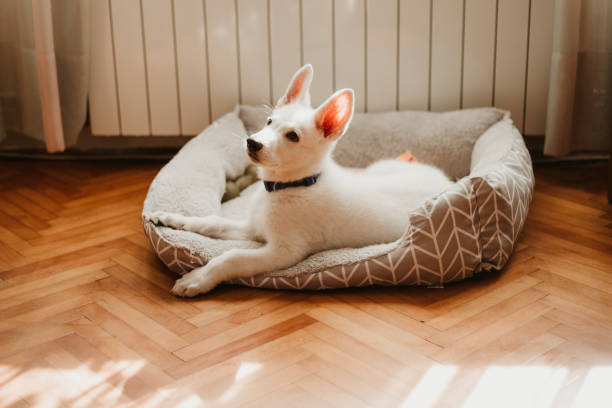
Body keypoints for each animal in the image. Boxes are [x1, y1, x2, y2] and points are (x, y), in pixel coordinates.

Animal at [146, 64, 452, 296]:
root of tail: (446, 180)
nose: (252, 142)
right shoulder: (254, 228)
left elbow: (232, 257)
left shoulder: (283, 252)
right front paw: (172, 219)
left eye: (292, 136)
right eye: (269, 122)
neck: (289, 187)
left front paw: (198, 279)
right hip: (381, 167)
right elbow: (212, 222)